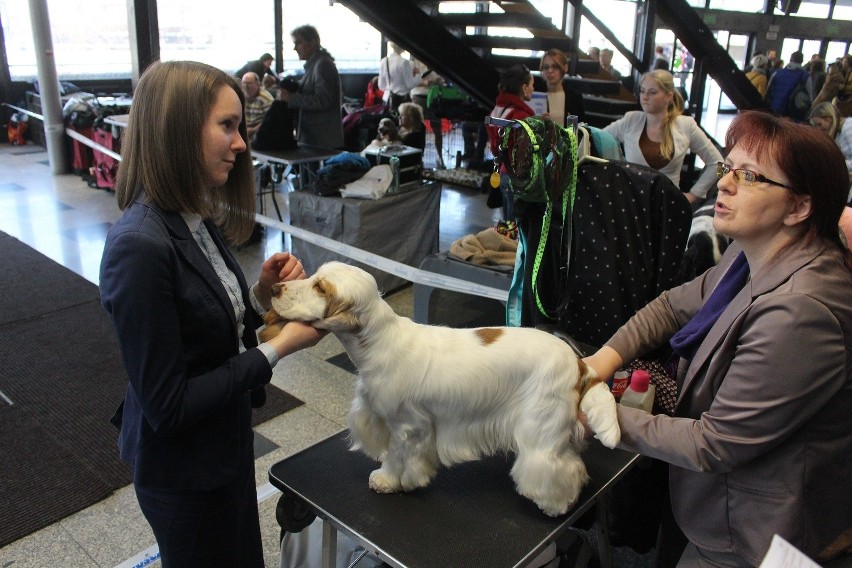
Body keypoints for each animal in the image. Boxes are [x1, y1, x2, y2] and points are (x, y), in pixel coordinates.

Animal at [260, 264, 620, 516]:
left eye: (320, 287)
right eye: (313, 276)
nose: (274, 287)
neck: (379, 342)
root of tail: (577, 362)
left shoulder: (407, 427)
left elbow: (399, 457)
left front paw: (390, 481)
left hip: (540, 426)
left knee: (556, 467)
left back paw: (555, 505)